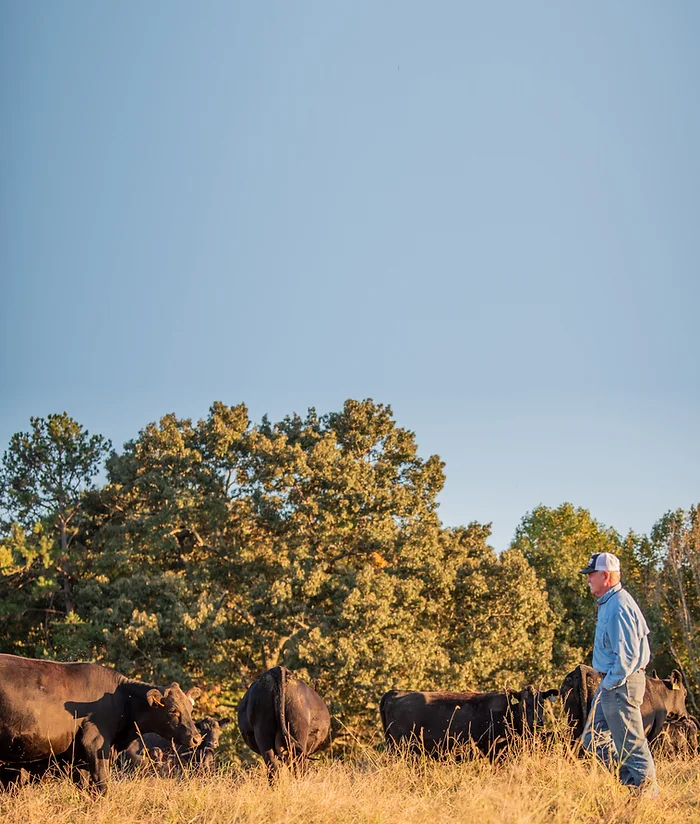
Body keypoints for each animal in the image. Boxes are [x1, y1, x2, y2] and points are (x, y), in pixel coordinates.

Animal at [0, 652, 202, 792]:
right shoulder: (95, 744)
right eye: (173, 710)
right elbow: (101, 783)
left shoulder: (78, 757)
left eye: (190, 708)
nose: (196, 738)